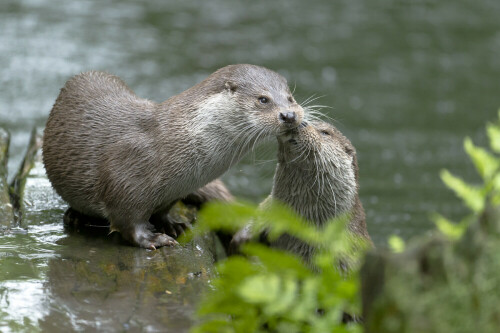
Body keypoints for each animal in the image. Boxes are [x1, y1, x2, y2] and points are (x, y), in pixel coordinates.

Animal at [42, 65, 304, 248]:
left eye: (290, 97)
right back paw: (74, 217)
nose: (289, 114)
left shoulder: (174, 191)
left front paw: (173, 225)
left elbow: (162, 210)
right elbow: (127, 220)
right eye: (263, 99)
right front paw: (152, 239)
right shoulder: (126, 178)